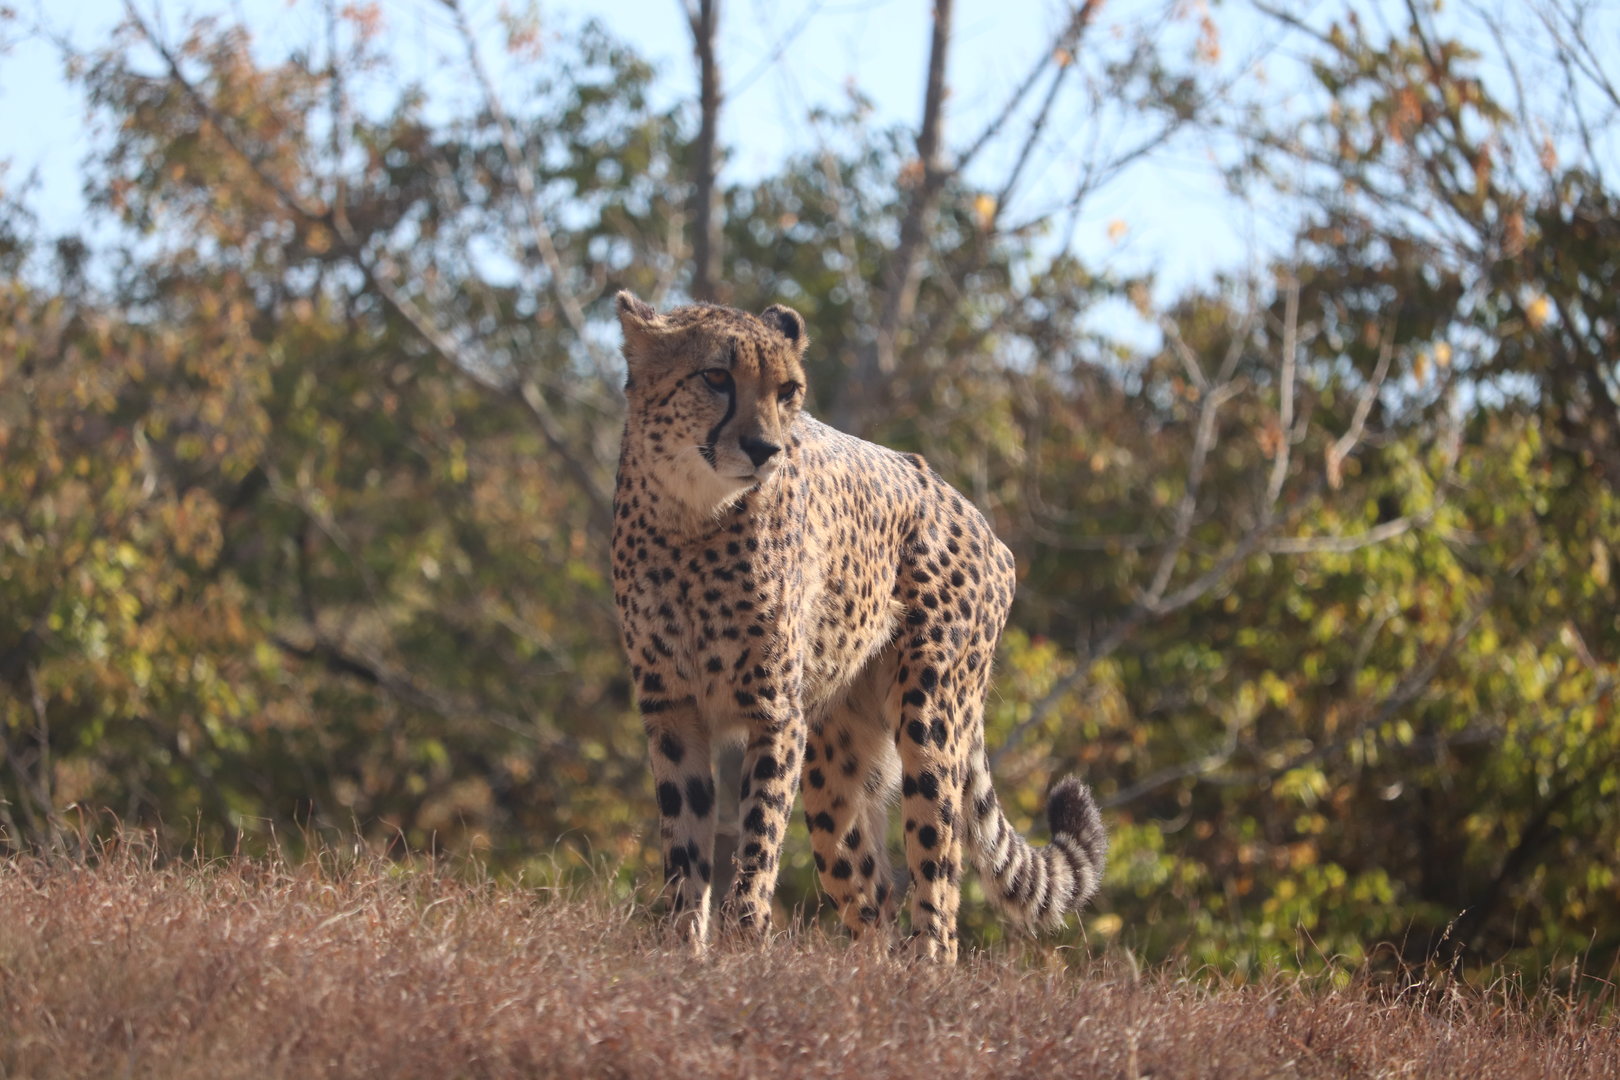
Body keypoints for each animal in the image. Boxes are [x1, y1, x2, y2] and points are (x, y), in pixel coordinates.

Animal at [610, 291, 1107, 962]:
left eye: (788, 390)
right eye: (715, 377)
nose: (765, 449)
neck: (691, 519)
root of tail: (977, 518)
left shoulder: (775, 714)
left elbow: (758, 843)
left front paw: (744, 951)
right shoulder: (672, 712)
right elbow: (684, 850)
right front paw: (684, 951)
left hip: (930, 718)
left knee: (939, 886)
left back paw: (927, 972)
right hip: (835, 760)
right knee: (874, 893)